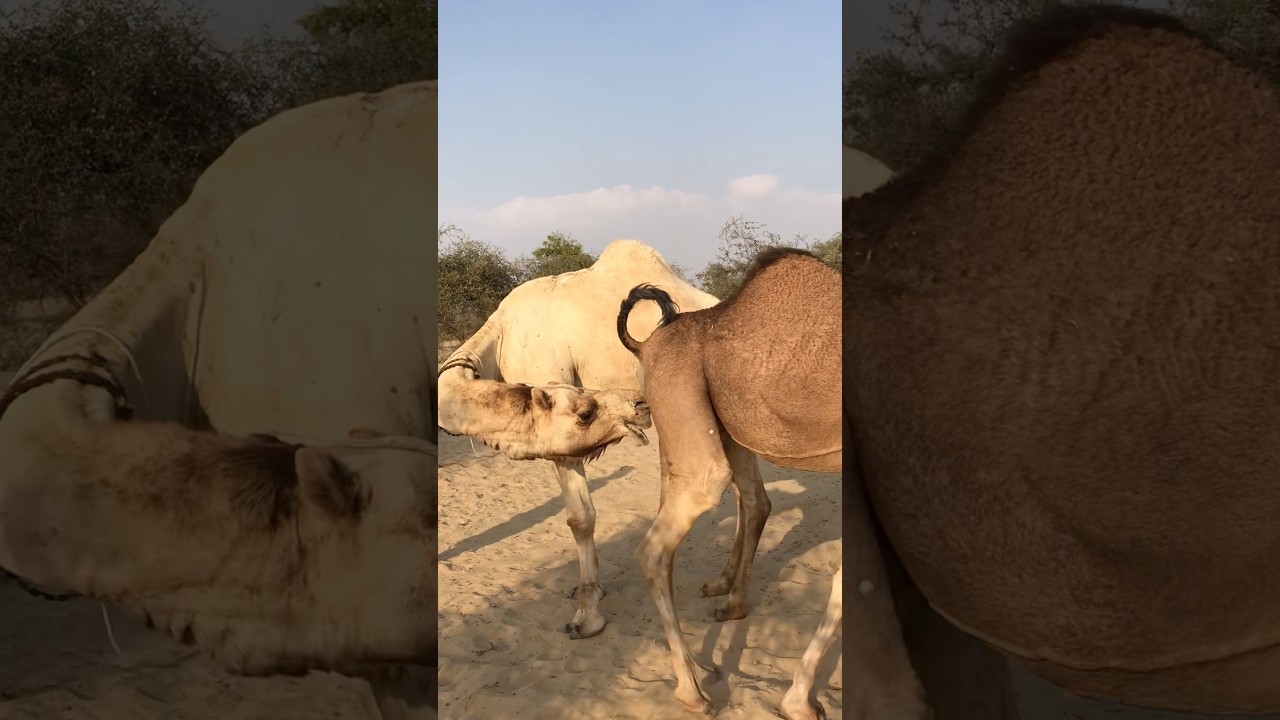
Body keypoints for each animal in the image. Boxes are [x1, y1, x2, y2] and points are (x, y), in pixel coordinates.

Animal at [438, 239, 776, 640]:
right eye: (586, 408)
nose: (637, 405)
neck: (502, 337)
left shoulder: (557, 423)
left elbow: (580, 518)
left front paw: (586, 617)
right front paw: (592, 591)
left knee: (753, 500)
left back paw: (731, 600)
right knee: (742, 496)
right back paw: (721, 583)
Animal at [616, 248, 873, 719]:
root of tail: (648, 343)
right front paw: (799, 702)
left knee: (750, 501)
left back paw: (727, 608)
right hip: (680, 397)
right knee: (660, 541)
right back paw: (692, 690)